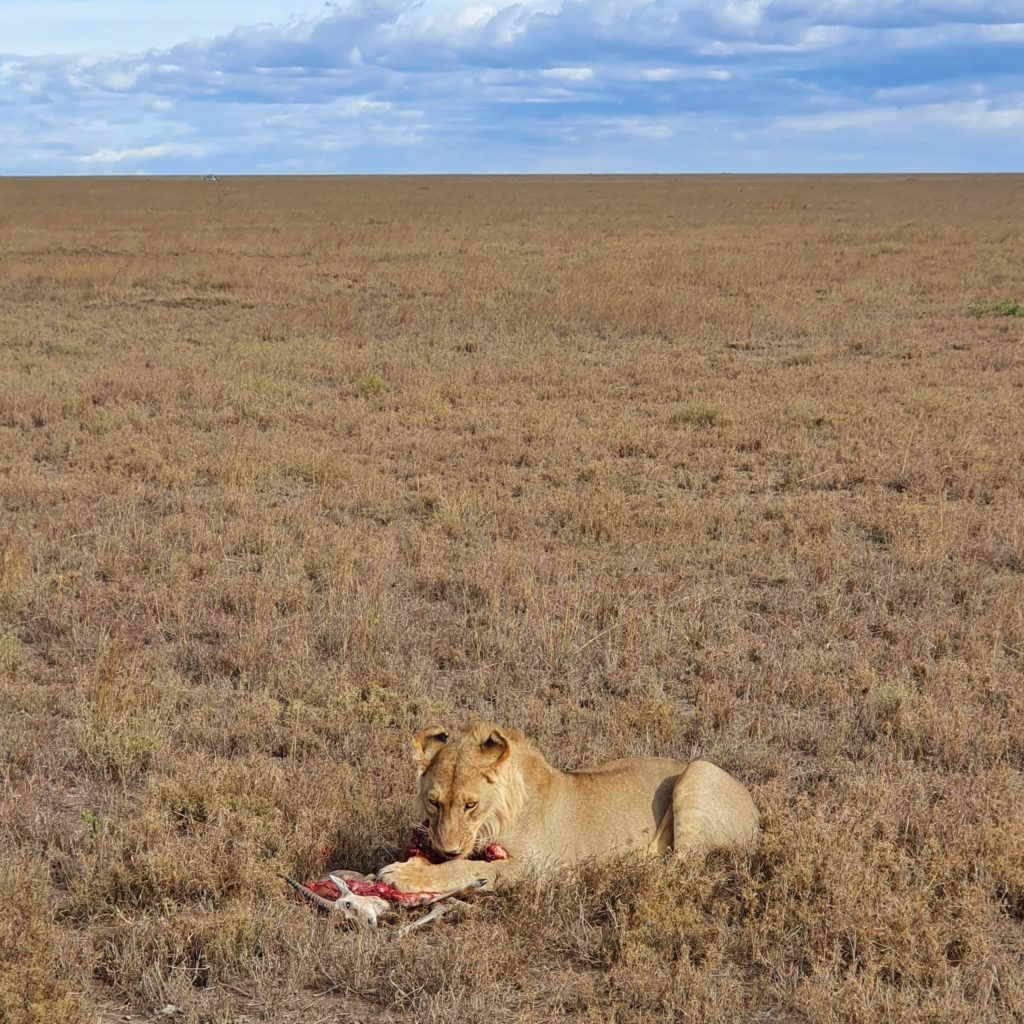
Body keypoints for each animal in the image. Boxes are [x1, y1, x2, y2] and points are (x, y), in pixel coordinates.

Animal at [378, 716, 761, 892]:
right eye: (433, 802)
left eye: (470, 805)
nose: (448, 849)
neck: (498, 815)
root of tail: (755, 813)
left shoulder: (540, 868)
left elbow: (466, 869)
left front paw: (404, 874)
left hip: (699, 770)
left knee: (682, 869)